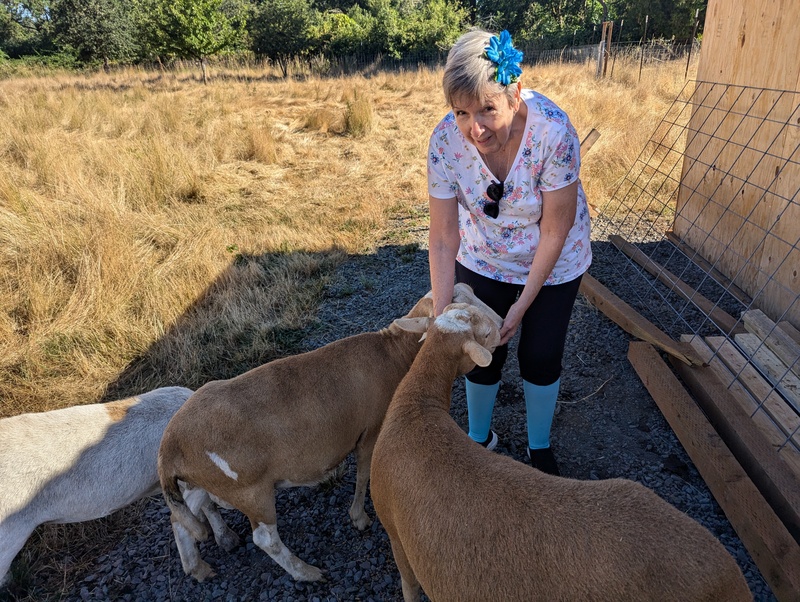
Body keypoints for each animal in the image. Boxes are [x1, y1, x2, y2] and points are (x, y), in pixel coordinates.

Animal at [156, 282, 500, 580]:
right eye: (480, 330)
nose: (500, 323)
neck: (394, 354)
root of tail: (170, 445)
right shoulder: (371, 431)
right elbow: (363, 476)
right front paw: (359, 518)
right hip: (249, 489)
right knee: (266, 539)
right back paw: (306, 573)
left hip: (206, 481)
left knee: (182, 516)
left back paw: (198, 565)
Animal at [372, 304, 752, 600]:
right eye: (484, 331)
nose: (504, 321)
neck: (418, 407)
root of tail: (734, 580)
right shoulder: (394, 532)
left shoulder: (396, 532)